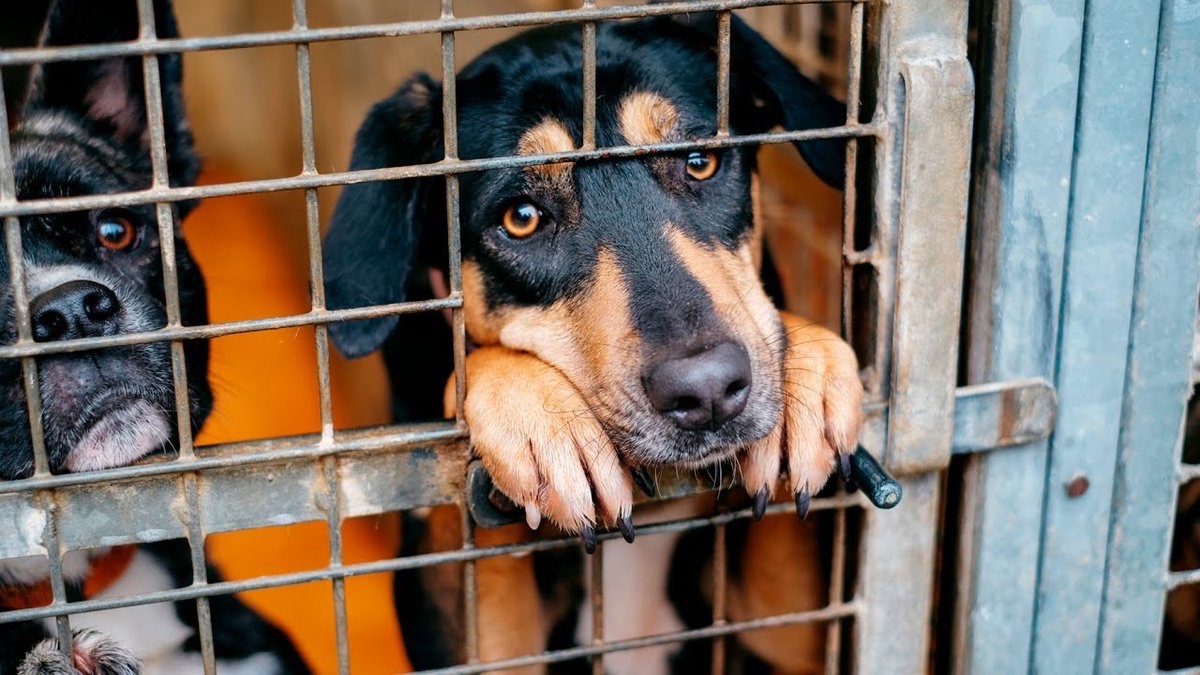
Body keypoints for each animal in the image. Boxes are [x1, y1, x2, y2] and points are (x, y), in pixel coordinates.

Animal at [324, 7, 859, 667]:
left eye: (700, 161)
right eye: (520, 218)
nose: (707, 391)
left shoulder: (795, 638)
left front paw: (808, 370)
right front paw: (537, 417)